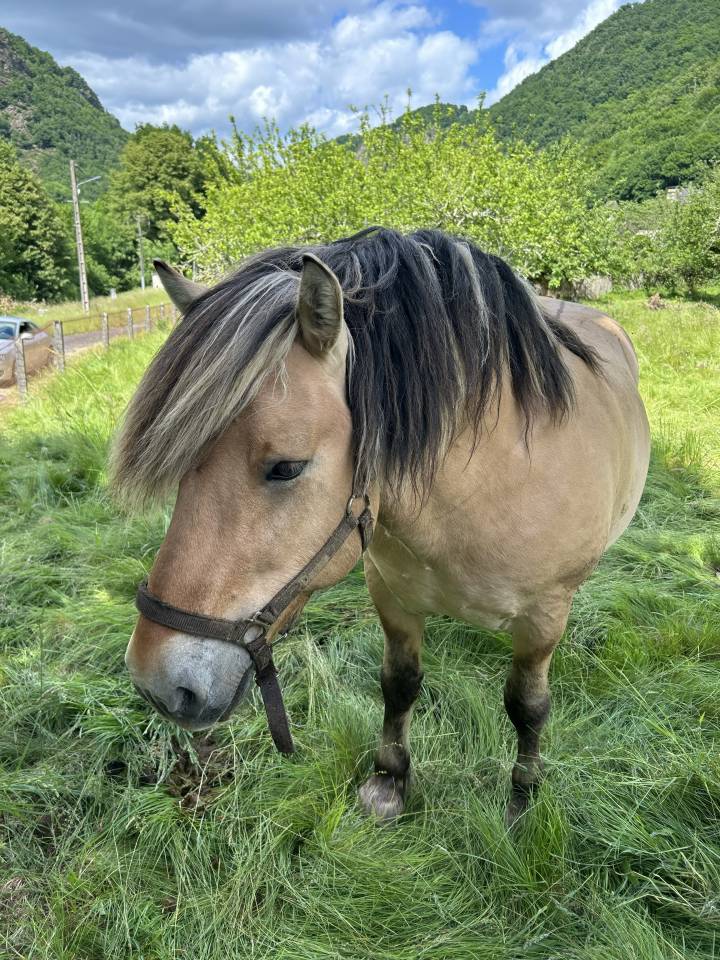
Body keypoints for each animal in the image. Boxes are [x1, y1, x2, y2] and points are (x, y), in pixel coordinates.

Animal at [114, 228, 650, 824]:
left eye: (287, 467)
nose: (156, 684)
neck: (486, 485)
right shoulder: (391, 597)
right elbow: (399, 685)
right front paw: (390, 780)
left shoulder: (542, 618)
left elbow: (527, 706)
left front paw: (522, 797)